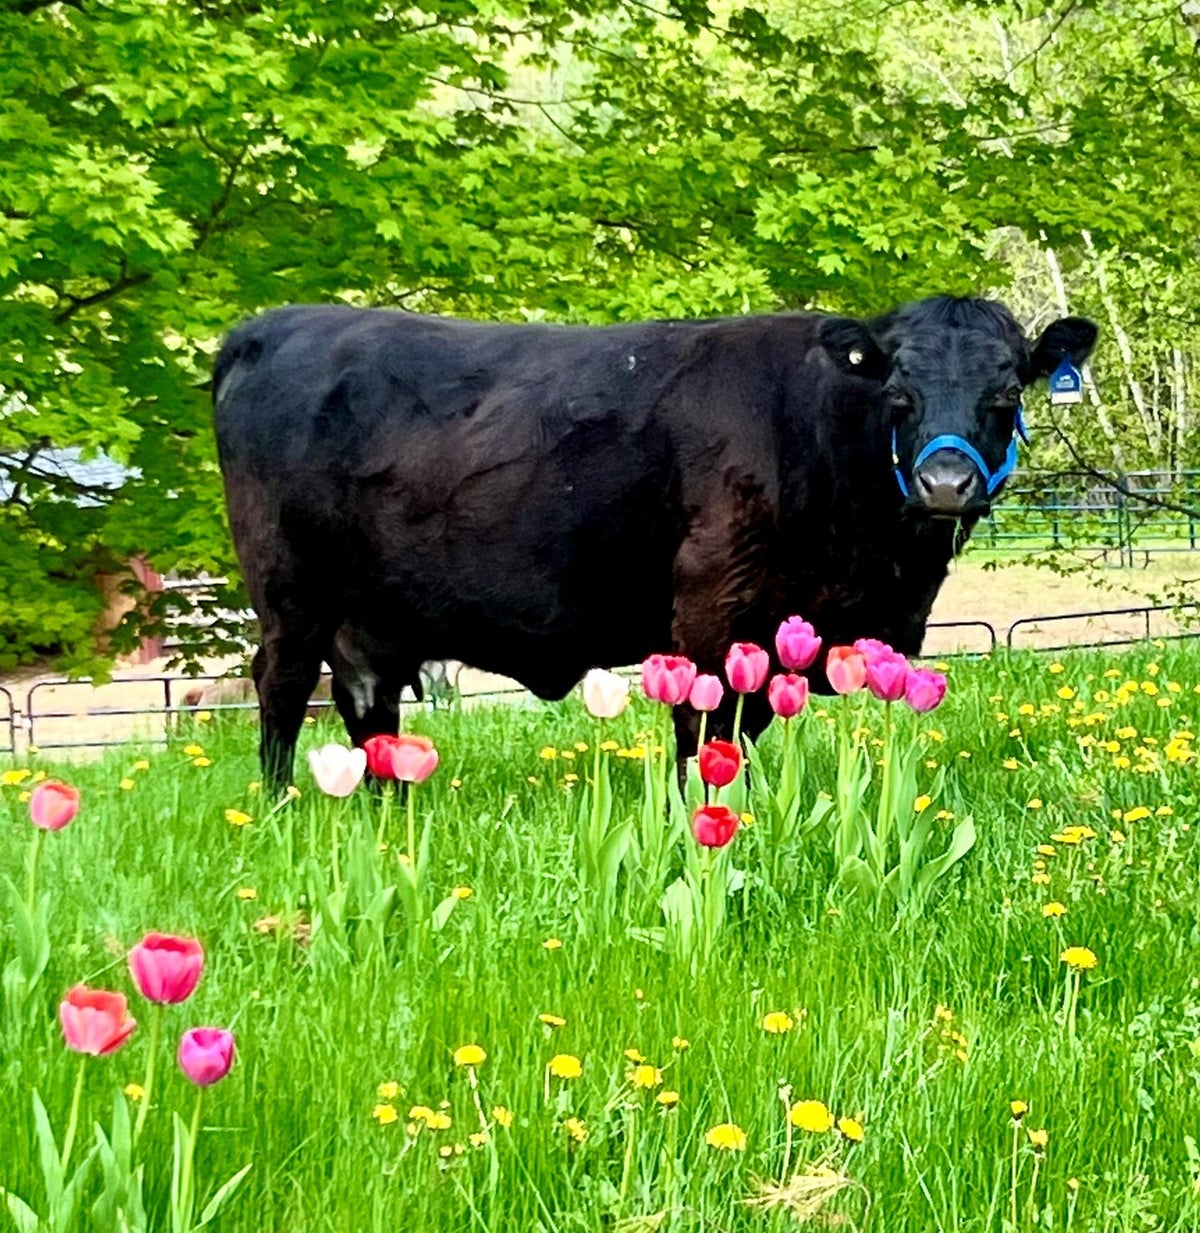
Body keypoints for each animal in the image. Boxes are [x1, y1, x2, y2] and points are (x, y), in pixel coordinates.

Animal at [212, 296, 1097, 789]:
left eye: (1005, 391)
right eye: (900, 393)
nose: (946, 481)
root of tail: (267, 328)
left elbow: (742, 729)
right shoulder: (712, 606)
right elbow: (704, 732)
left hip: (370, 615)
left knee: (369, 702)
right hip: (290, 592)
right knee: (282, 687)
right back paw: (281, 803)